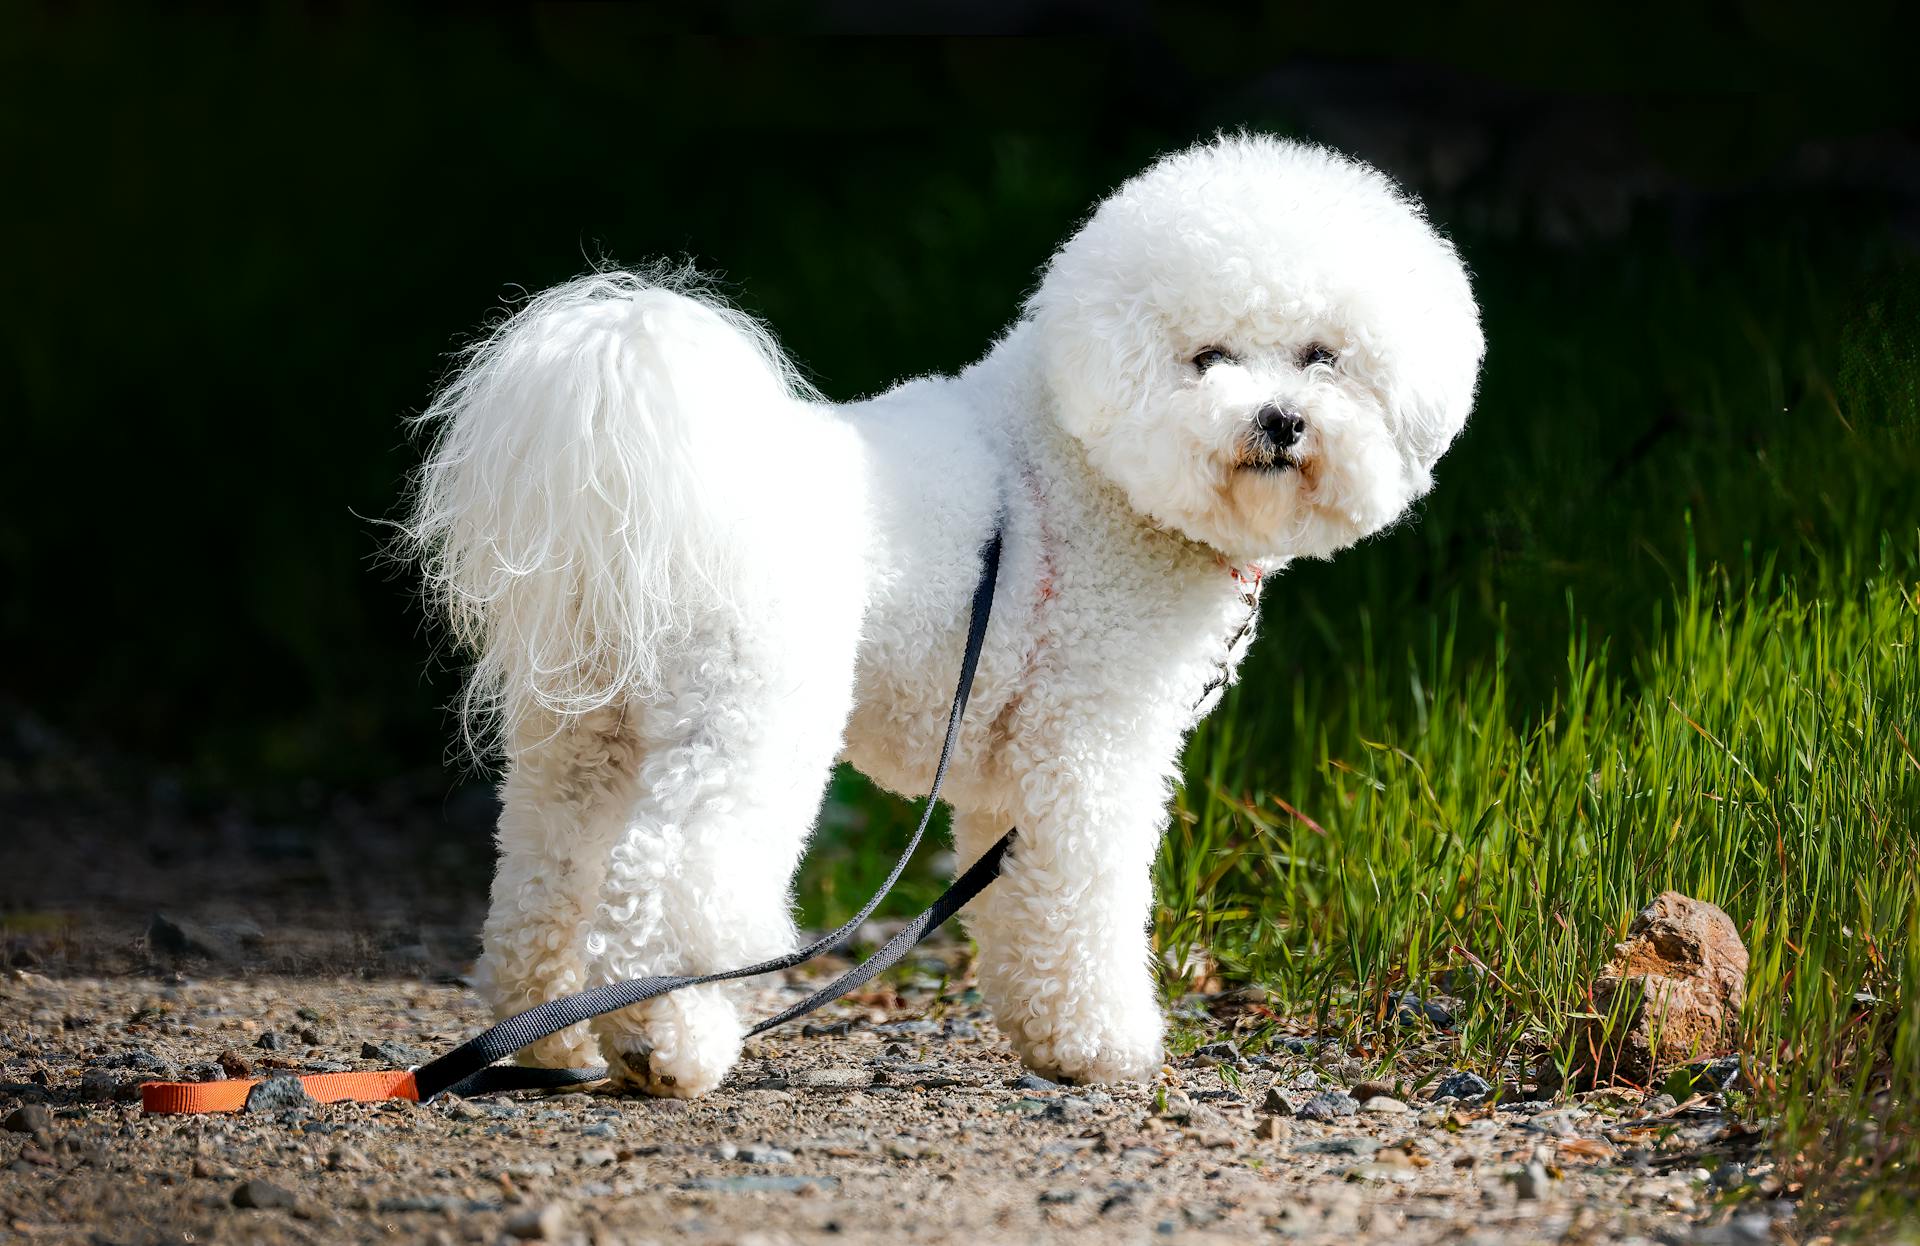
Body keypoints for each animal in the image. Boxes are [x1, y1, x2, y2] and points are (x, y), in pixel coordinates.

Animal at [405, 131, 1482, 1090]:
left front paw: (1049, 1035)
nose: (1280, 421)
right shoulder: (1089, 745)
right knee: (675, 880)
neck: (1082, 462)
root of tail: (663, 491)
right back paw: (665, 1046)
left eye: (1322, 356)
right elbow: (1085, 897)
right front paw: (1104, 1043)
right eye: (1208, 357)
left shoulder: (1016, 776)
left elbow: (1021, 905)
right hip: (749, 715)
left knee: (546, 878)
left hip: (583, 735)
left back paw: (546, 1037)